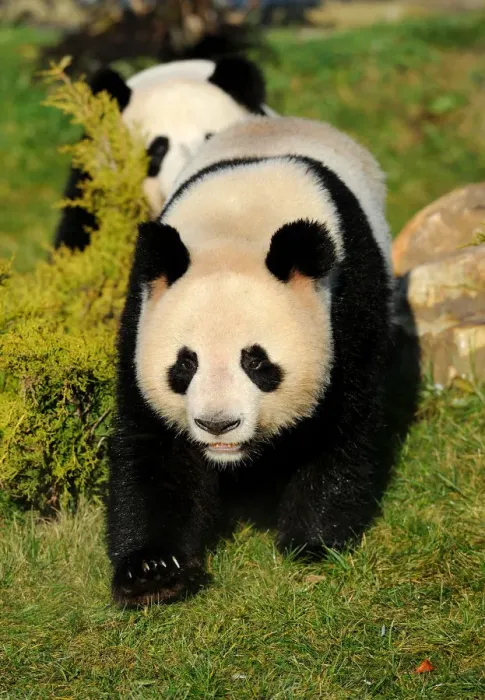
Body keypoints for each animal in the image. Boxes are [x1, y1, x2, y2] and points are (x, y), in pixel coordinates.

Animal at [108, 116, 394, 607]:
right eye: (185, 365)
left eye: (257, 363)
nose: (218, 425)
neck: (238, 225)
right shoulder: (141, 311)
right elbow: (152, 446)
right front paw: (151, 570)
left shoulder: (348, 302)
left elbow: (342, 423)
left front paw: (310, 540)